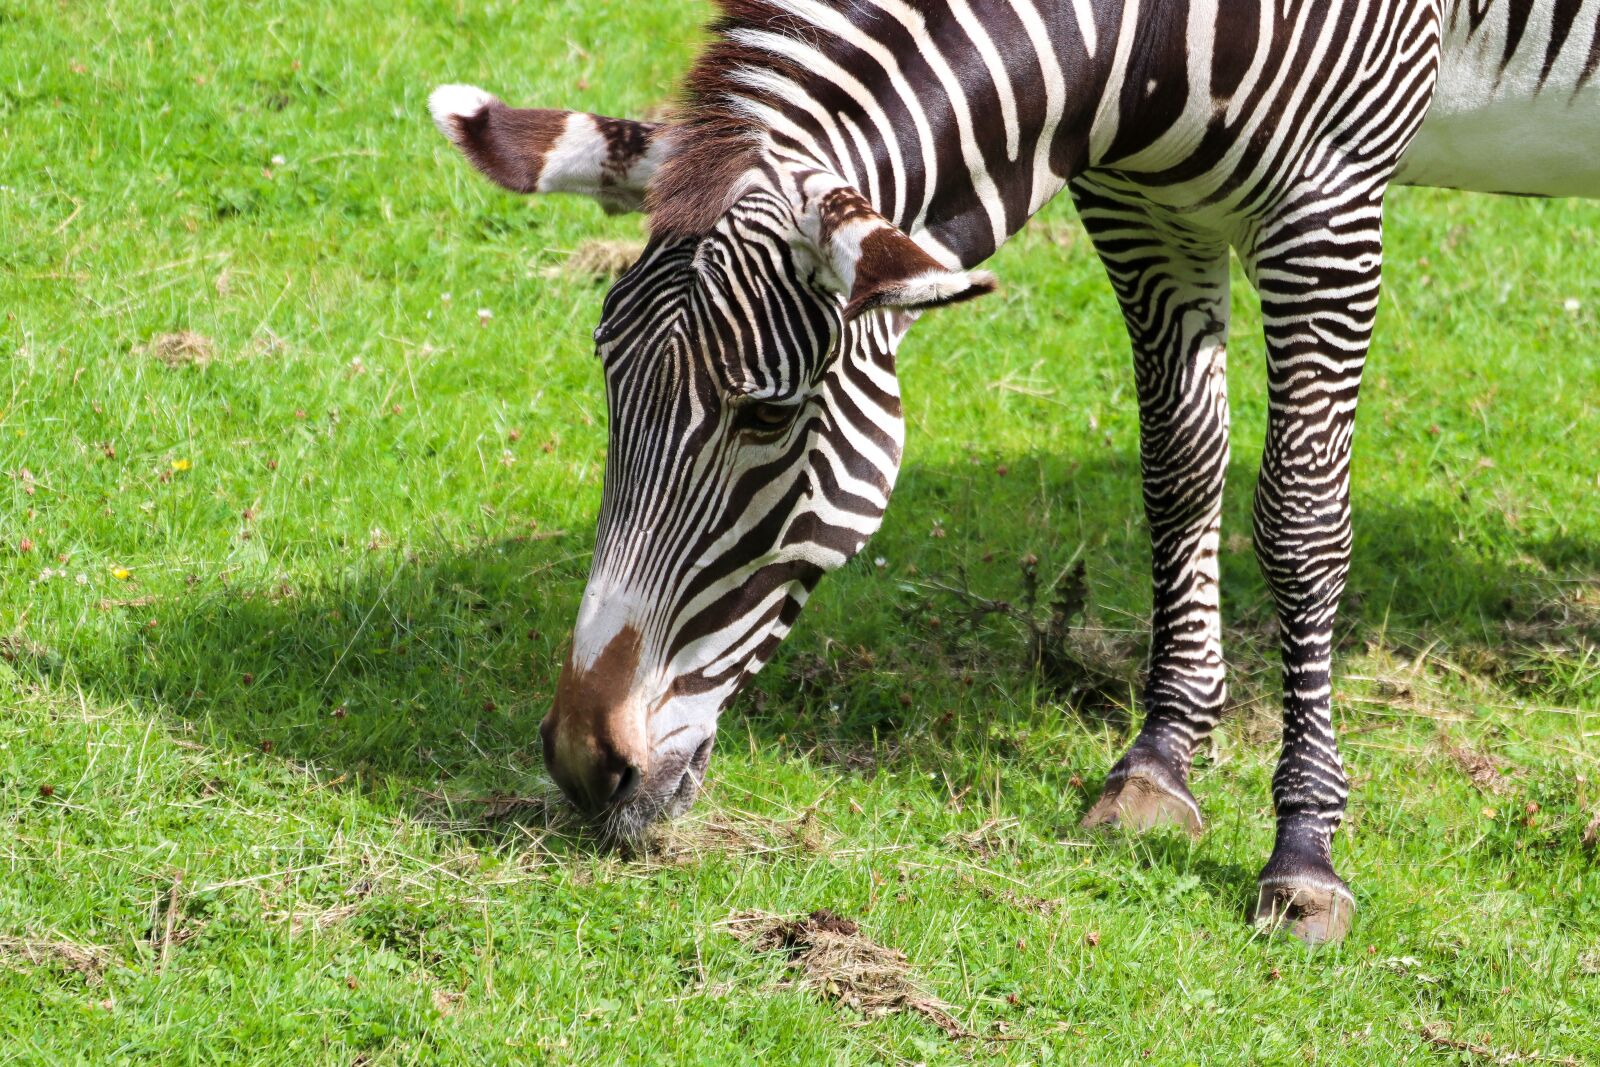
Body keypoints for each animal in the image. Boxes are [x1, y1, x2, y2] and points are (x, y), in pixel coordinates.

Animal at [430, 0, 1599, 942]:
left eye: (766, 412)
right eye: (606, 372)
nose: (583, 761)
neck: (1139, 51)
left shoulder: (1332, 196)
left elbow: (1300, 518)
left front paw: (1303, 849)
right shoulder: (1138, 201)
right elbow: (1179, 467)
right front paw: (1160, 757)